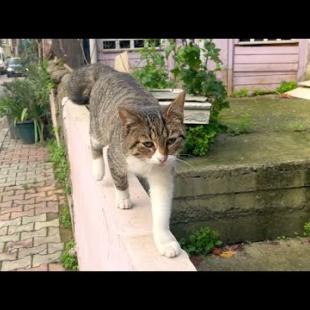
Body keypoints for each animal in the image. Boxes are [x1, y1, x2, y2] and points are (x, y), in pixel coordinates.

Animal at [66, 63, 185, 256]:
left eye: (171, 141)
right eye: (148, 143)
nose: (162, 158)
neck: (144, 161)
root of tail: (111, 72)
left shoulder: (163, 174)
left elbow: (161, 207)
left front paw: (165, 241)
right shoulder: (116, 154)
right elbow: (119, 179)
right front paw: (123, 198)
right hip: (99, 125)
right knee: (94, 142)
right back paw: (98, 170)